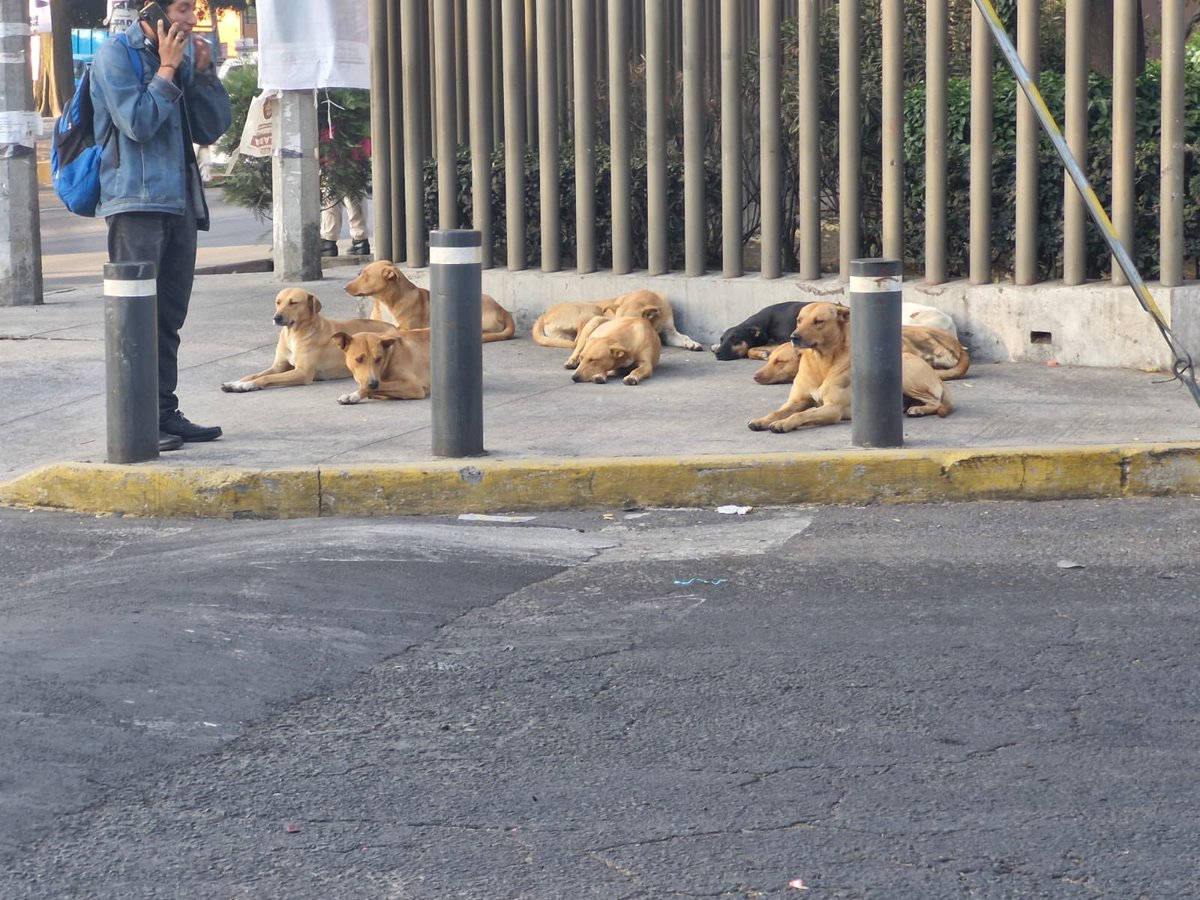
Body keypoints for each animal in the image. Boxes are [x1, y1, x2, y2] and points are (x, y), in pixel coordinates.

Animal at [220, 286, 398, 388]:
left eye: (293, 303)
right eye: (278, 302)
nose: (276, 317)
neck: (293, 334)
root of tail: (395, 328)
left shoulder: (302, 372)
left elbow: (266, 378)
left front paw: (247, 386)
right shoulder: (279, 366)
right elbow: (255, 374)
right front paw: (237, 383)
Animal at [345, 264, 518, 345]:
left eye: (365, 275)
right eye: (361, 273)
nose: (344, 288)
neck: (386, 301)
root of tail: (504, 311)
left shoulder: (405, 327)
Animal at [532, 294, 700, 355]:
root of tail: (543, 316)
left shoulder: (669, 331)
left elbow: (684, 337)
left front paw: (692, 343)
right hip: (590, 310)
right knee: (577, 340)